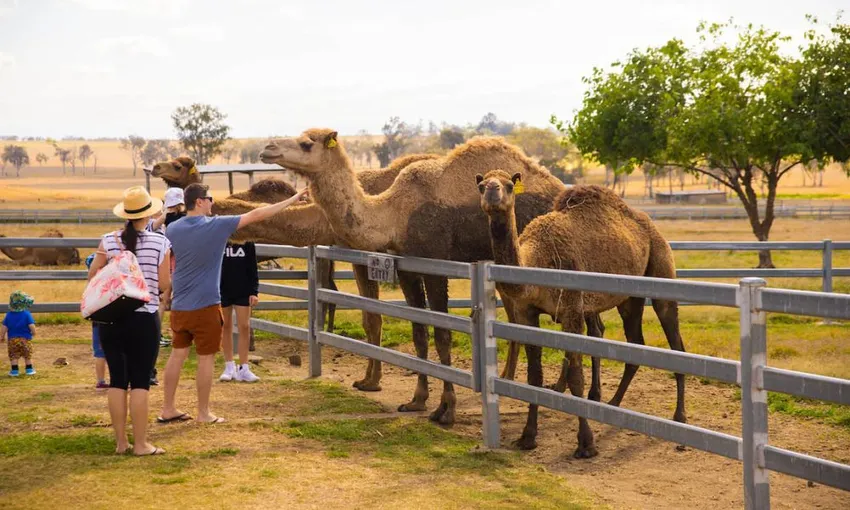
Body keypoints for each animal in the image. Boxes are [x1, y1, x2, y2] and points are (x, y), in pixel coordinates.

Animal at [258, 128, 606, 425]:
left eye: (306, 143)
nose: (267, 147)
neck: (394, 214)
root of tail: (561, 191)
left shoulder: (436, 265)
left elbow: (442, 334)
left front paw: (446, 410)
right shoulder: (408, 268)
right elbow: (419, 332)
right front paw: (417, 400)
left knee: (587, 325)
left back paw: (585, 395)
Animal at [476, 170, 687, 456]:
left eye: (509, 185)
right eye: (480, 186)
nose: (492, 192)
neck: (537, 260)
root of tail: (649, 224)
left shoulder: (572, 309)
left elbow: (576, 377)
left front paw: (586, 444)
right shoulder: (527, 314)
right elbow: (534, 377)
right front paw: (527, 437)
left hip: (661, 265)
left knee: (676, 343)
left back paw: (679, 418)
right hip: (629, 297)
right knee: (635, 343)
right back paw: (613, 403)